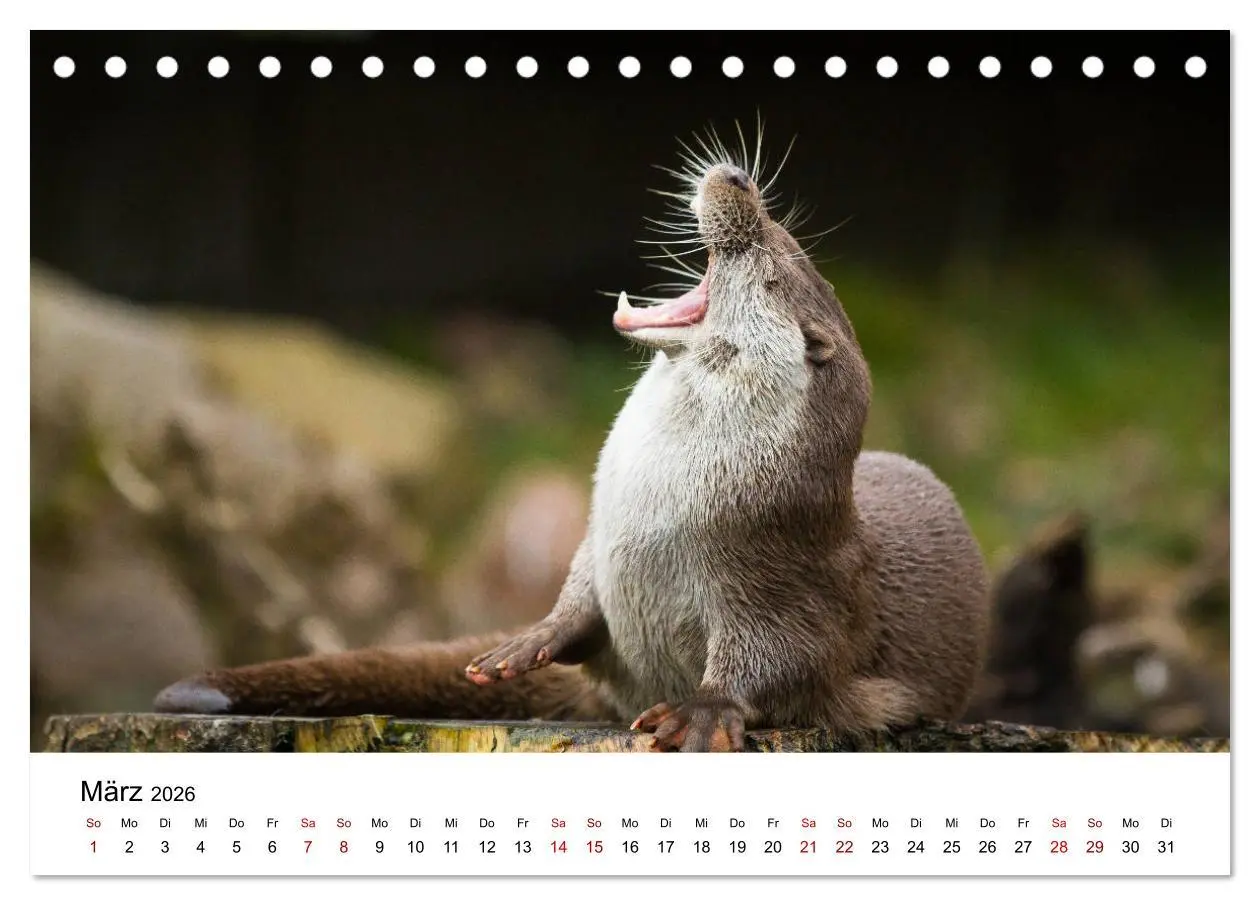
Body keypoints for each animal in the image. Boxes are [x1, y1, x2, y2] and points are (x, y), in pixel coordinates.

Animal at [154, 134, 991, 751]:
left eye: (770, 263)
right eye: (784, 237)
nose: (737, 177)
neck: (666, 507)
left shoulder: (785, 578)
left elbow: (782, 659)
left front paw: (700, 711)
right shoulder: (600, 537)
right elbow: (578, 592)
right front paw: (528, 639)